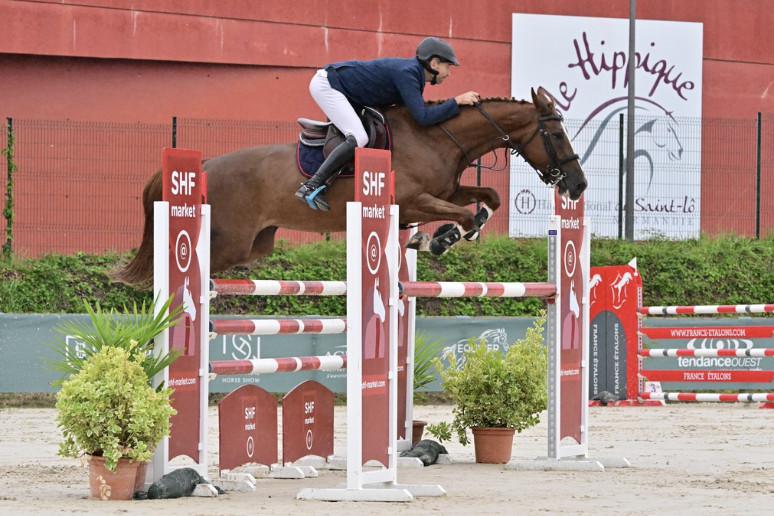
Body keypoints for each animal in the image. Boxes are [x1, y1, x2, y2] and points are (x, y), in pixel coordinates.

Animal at [115, 87, 586, 285]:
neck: (437, 137)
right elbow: (464, 213)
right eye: (556, 133)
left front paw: (440, 237)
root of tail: (206, 164)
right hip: (231, 241)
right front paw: (439, 240)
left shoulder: (441, 193)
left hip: (255, 245)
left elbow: (487, 198)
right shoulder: (412, 202)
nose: (579, 186)